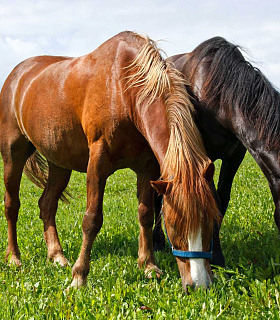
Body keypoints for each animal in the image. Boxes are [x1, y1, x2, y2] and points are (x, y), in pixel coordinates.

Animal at [0, 31, 219, 290]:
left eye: (212, 222)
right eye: (174, 225)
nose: (200, 285)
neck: (123, 88)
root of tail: (16, 75)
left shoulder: (147, 168)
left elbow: (145, 214)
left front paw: (148, 266)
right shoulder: (98, 163)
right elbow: (92, 219)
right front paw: (79, 277)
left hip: (59, 164)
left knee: (47, 204)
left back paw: (57, 256)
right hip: (13, 155)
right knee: (12, 205)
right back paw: (14, 258)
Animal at [153, 37, 280, 268]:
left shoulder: (235, 156)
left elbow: (222, 200)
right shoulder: (203, 159)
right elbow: (211, 199)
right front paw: (216, 257)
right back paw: (157, 241)